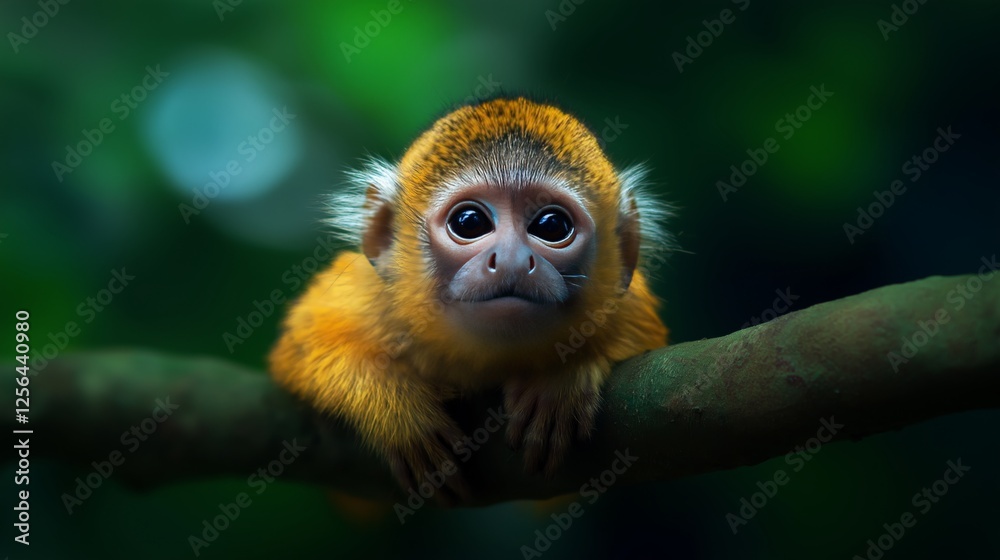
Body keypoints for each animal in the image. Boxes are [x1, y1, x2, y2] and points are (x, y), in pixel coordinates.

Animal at [269, 96, 670, 501]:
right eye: (469, 222)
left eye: (552, 226)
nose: (510, 259)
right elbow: (299, 345)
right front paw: (395, 407)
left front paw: (564, 372)